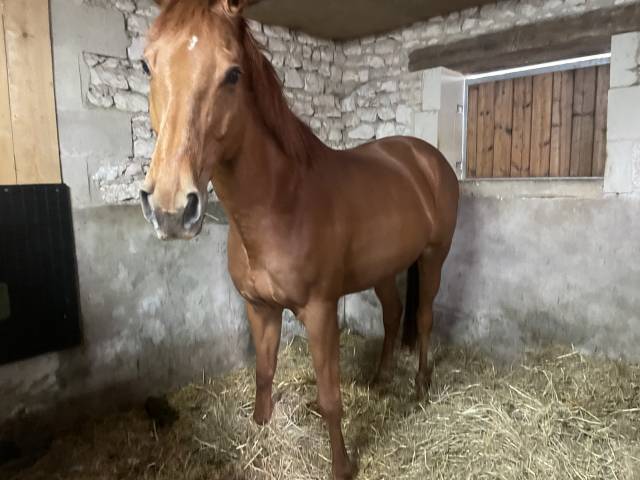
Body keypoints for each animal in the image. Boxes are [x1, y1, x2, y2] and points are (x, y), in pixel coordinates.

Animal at [140, 1, 459, 478]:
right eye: (147, 65)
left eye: (233, 74)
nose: (171, 208)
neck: (280, 203)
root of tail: (425, 157)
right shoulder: (259, 308)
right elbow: (264, 372)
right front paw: (261, 428)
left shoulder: (320, 312)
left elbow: (330, 398)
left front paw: (342, 466)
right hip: (383, 270)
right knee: (392, 314)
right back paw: (380, 378)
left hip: (433, 258)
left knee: (422, 318)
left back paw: (420, 386)